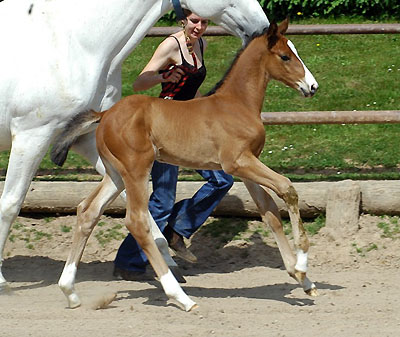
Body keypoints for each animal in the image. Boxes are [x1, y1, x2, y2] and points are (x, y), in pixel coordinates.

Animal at [0, 0, 268, 288]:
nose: (262, 27)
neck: (75, 44)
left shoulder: (87, 139)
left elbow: (137, 203)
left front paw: (169, 267)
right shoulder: (32, 136)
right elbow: (10, 205)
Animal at [51, 19, 318, 312]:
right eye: (285, 56)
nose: (312, 87)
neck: (237, 104)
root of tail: (105, 113)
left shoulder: (248, 167)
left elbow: (270, 213)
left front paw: (303, 280)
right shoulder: (238, 162)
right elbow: (287, 188)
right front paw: (302, 263)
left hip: (115, 174)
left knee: (88, 211)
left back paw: (70, 292)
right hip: (136, 170)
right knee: (137, 221)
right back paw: (181, 297)